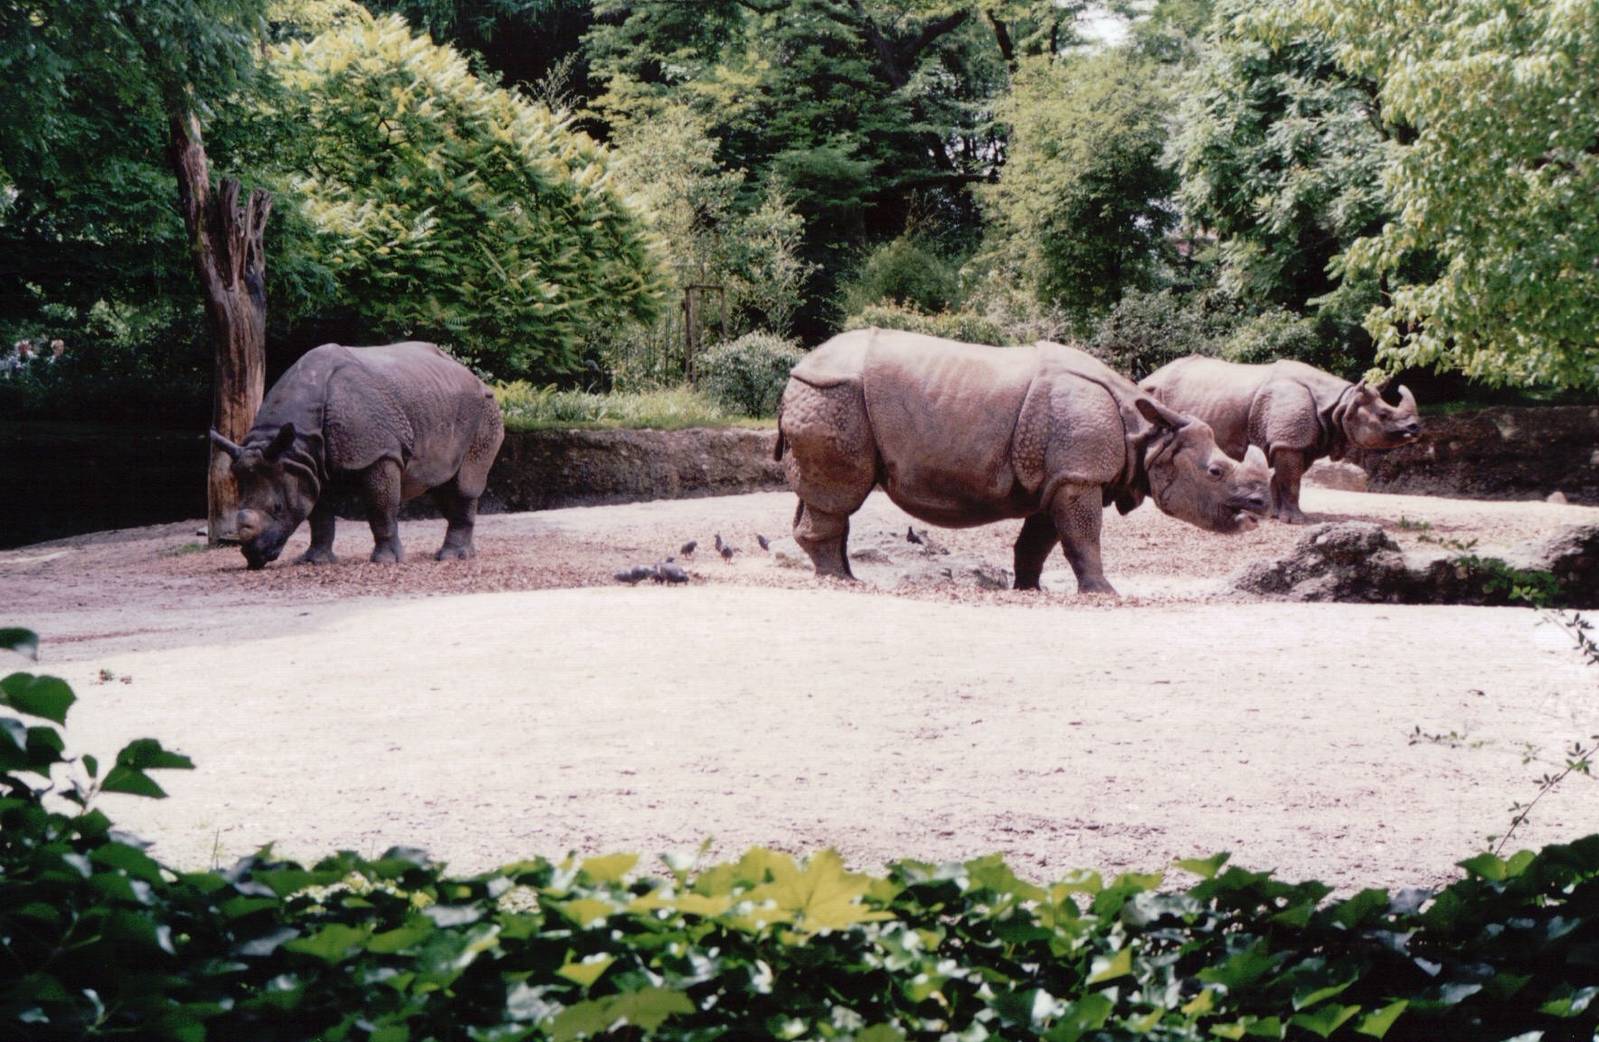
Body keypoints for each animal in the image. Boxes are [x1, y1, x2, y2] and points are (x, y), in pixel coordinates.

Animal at [208, 341, 504, 570]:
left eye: (278, 508)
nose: (253, 558)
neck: (295, 442)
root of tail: (474, 377)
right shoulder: (307, 464)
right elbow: (319, 514)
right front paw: (314, 561)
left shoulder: (377, 453)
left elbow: (380, 506)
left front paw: (386, 562)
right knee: (443, 486)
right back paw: (465, 554)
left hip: (485, 411)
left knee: (465, 483)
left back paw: (451, 558)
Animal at [774, 329, 1272, 595]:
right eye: (1216, 472)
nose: (1261, 505)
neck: (1147, 436)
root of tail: (796, 370)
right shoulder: (1078, 475)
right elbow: (1083, 537)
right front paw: (1104, 593)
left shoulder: (1061, 478)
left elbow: (1040, 541)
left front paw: (1030, 590)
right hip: (833, 394)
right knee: (841, 493)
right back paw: (842, 582)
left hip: (826, 396)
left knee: (821, 496)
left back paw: (843, 575)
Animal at [1139, 357, 1421, 524]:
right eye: (1384, 415)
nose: (1416, 428)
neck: (1342, 404)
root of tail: (1147, 377)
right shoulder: (1289, 441)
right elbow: (1291, 479)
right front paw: (1297, 521)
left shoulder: (1300, 441)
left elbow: (1285, 477)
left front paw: (1274, 514)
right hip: (1152, 396)